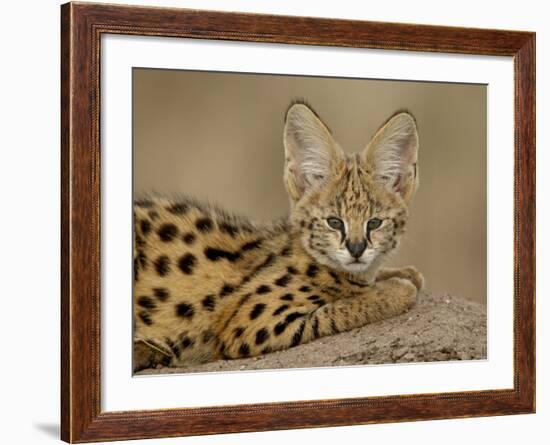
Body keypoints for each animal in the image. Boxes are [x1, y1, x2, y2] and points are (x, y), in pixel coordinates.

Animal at [133, 101, 422, 372]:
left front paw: (403, 273)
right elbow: (341, 308)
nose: (356, 249)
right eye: (334, 222)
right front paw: (396, 289)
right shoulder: (250, 325)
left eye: (374, 223)